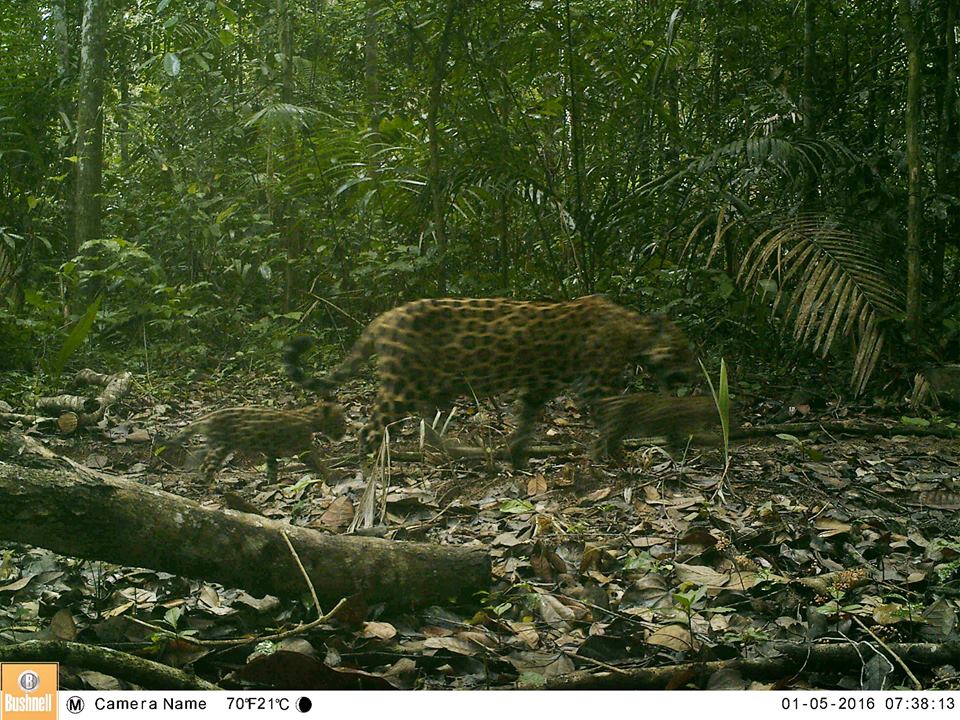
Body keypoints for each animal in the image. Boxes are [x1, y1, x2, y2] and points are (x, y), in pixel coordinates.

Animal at [166, 403, 345, 484]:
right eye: (340, 421)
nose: (344, 432)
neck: (310, 418)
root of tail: (208, 416)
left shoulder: (271, 452)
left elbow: (272, 468)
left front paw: (272, 483)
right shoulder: (303, 450)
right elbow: (317, 462)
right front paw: (332, 475)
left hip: (216, 445)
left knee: (201, 457)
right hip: (222, 446)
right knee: (207, 465)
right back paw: (212, 484)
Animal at [284, 295, 697, 468]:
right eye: (683, 351)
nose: (695, 372)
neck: (632, 331)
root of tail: (384, 318)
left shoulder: (540, 385)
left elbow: (526, 421)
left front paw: (516, 455)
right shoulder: (597, 384)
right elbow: (615, 418)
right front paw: (614, 454)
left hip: (434, 388)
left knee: (428, 424)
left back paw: (455, 452)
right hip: (402, 384)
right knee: (370, 426)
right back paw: (366, 461)